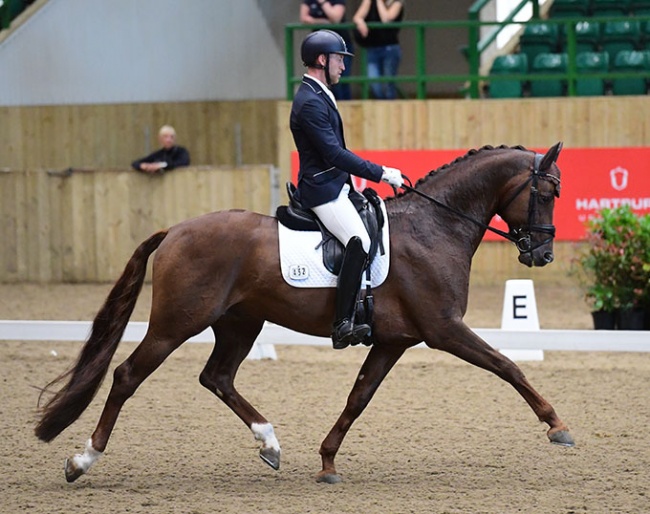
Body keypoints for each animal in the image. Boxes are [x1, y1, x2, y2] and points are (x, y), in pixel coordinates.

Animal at [35, 142, 572, 482]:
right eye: (546, 193)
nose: (542, 256)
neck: (434, 225)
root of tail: (175, 231)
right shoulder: (444, 329)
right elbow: (507, 365)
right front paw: (557, 426)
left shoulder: (394, 341)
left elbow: (358, 398)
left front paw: (328, 462)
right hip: (176, 323)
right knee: (127, 376)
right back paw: (83, 460)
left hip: (241, 323)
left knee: (217, 378)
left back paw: (269, 444)